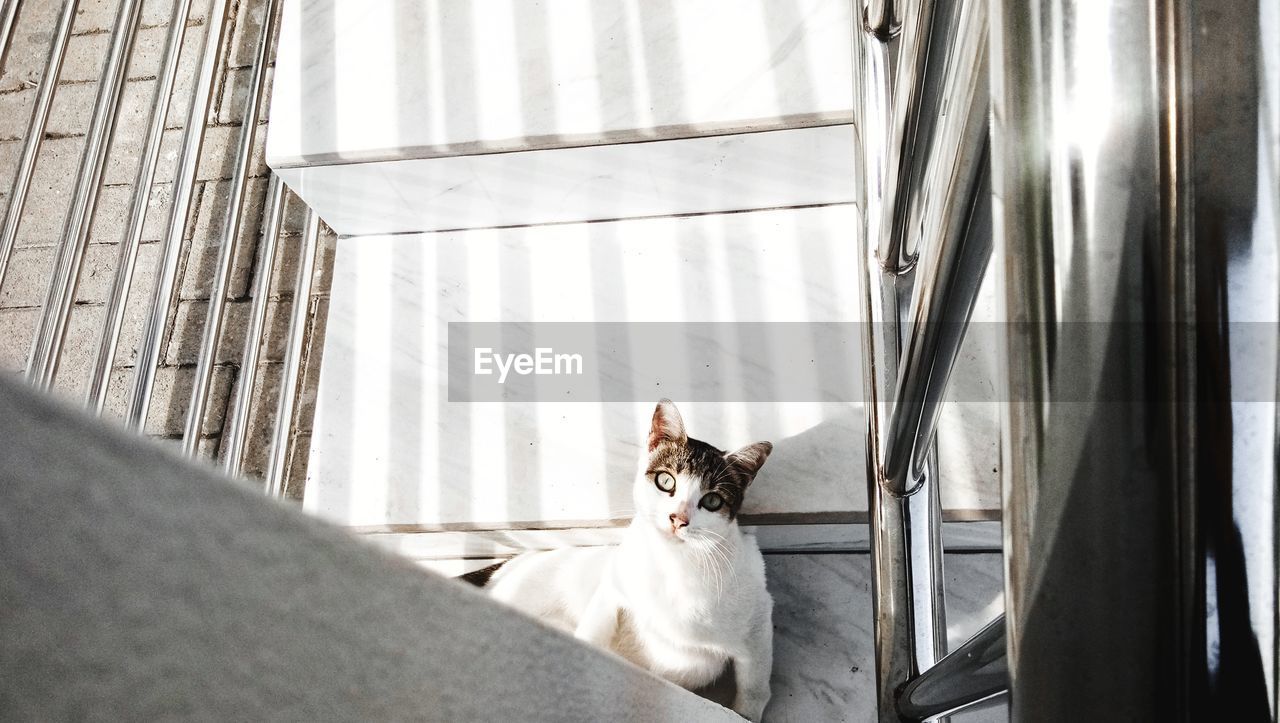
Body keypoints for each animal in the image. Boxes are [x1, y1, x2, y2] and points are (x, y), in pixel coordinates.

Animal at [465, 396, 773, 716]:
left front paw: (745, 713)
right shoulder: (612, 587)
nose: (678, 519)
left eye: (712, 500)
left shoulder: (759, 620)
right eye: (666, 481)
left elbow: (755, 688)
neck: (672, 565)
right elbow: (592, 632)